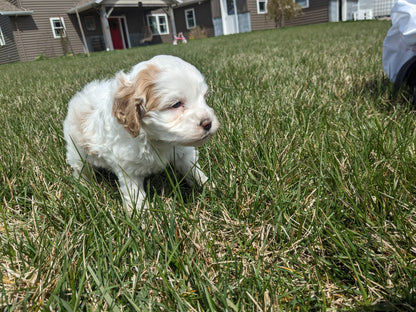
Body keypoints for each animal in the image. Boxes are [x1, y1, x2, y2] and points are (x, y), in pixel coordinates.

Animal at [63, 55, 219, 212]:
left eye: (204, 97)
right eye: (176, 104)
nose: (208, 123)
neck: (156, 139)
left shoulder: (183, 152)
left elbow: (193, 169)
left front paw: (208, 187)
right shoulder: (128, 169)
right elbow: (135, 194)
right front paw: (141, 215)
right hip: (76, 151)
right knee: (80, 170)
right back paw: (83, 188)